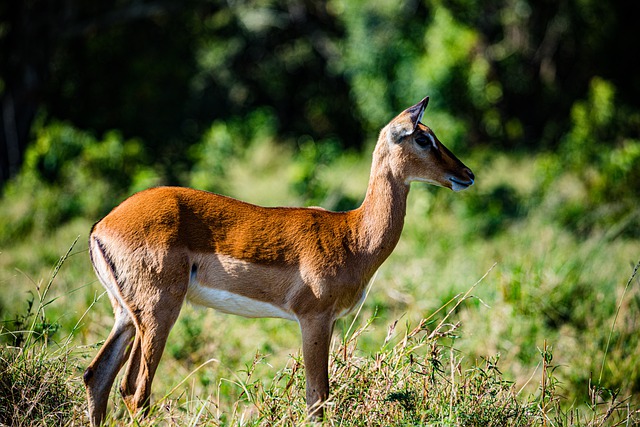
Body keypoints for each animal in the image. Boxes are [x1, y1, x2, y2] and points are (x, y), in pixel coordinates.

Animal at [82, 95, 472, 426]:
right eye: (423, 138)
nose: (466, 174)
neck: (352, 235)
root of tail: (102, 226)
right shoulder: (314, 318)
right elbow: (317, 399)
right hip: (158, 312)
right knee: (134, 389)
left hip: (126, 315)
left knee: (97, 376)